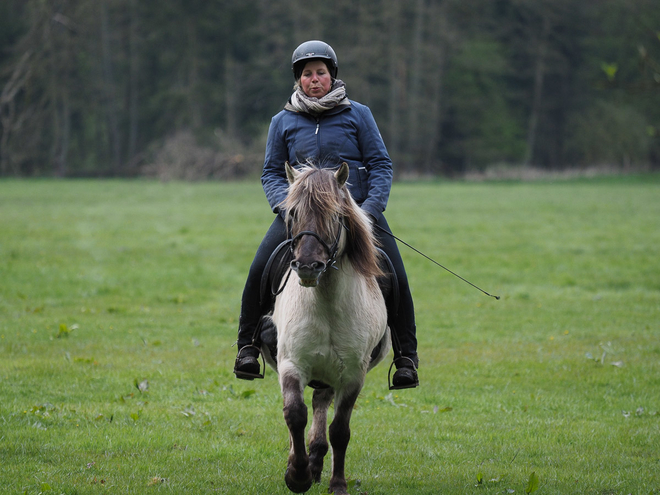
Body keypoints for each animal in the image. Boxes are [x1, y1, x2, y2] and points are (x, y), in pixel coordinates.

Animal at [260, 164, 390, 495]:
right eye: (292, 212)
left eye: (334, 215)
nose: (308, 266)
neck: (326, 303)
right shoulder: (292, 364)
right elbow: (294, 414)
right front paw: (297, 476)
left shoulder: (353, 375)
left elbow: (340, 430)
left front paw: (337, 483)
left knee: (321, 403)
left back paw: (317, 461)